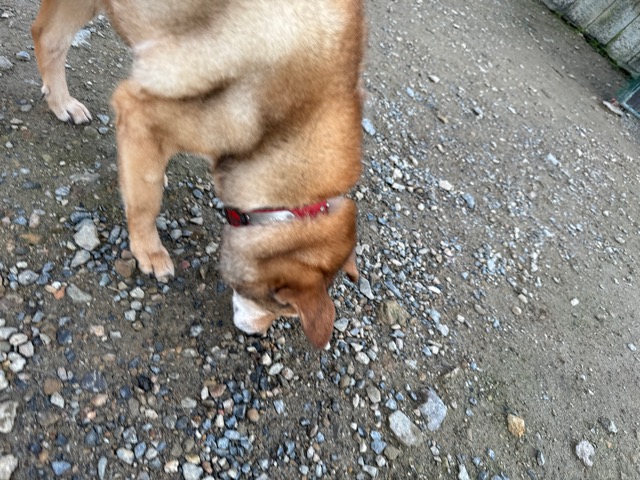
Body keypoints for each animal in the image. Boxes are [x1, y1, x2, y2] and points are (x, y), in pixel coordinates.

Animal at [31, 0, 364, 348]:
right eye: (280, 307)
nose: (257, 335)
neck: (286, 125)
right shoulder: (141, 111)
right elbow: (145, 203)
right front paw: (148, 250)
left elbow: (146, 173)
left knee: (46, 36)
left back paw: (61, 102)